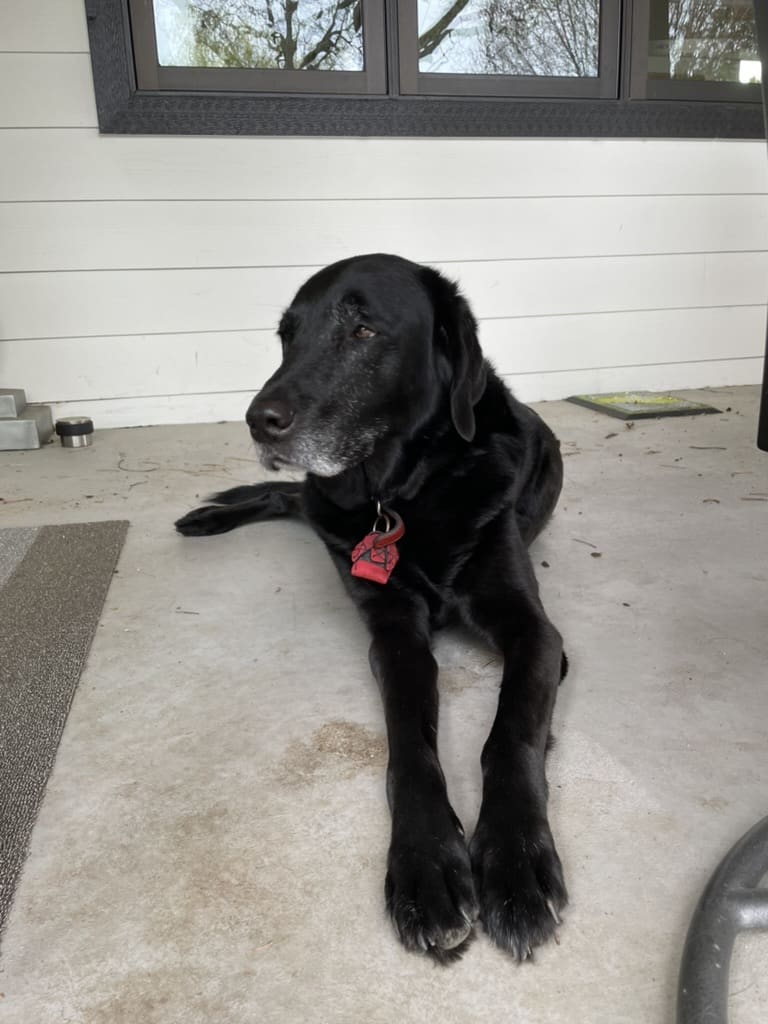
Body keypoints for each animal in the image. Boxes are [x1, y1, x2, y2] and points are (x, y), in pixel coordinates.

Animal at [177, 253, 569, 958]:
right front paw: (427, 866)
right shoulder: (393, 634)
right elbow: (408, 745)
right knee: (293, 497)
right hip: (318, 499)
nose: (257, 420)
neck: (404, 496)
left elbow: (510, 733)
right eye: (287, 337)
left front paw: (515, 863)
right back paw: (213, 513)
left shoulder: (535, 632)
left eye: (362, 330)